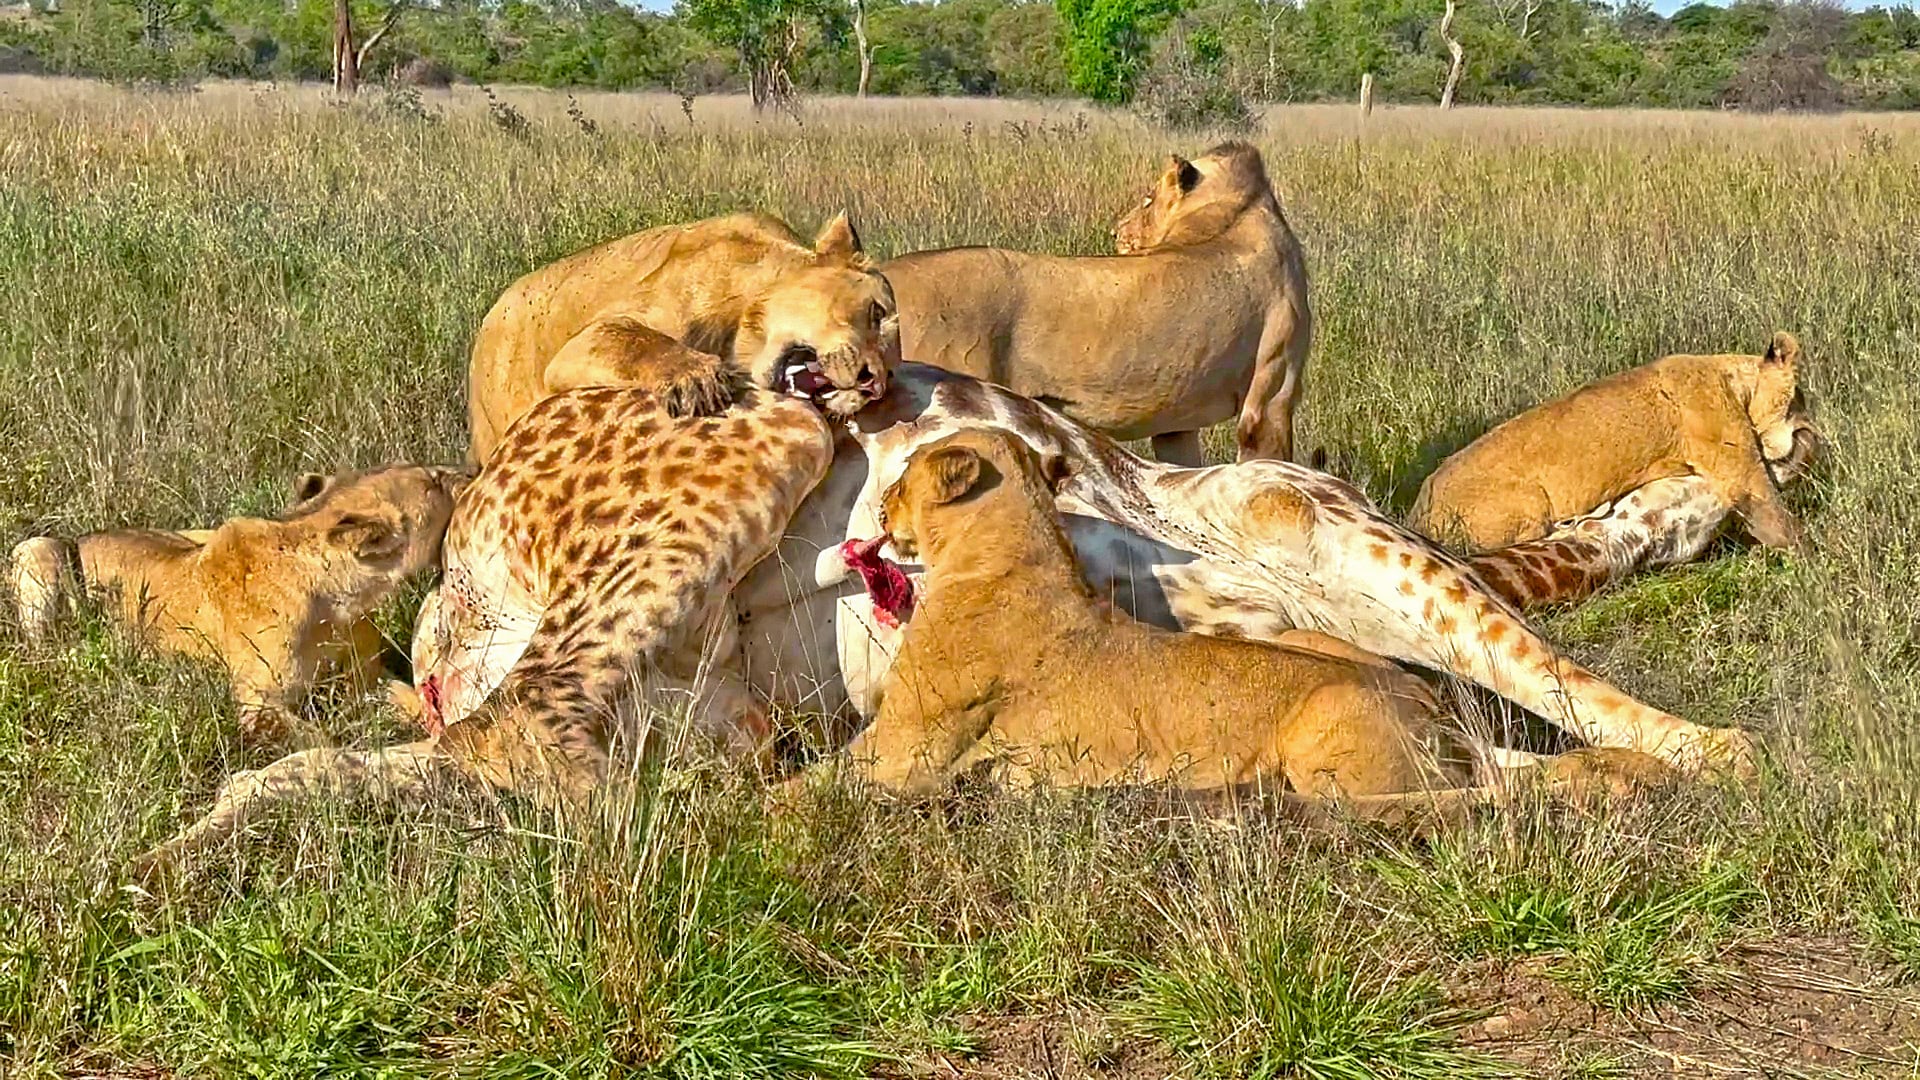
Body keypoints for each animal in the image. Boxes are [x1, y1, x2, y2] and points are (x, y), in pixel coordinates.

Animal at [9, 464, 465, 748]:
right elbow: (323, 741)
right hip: (38, 548)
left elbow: (411, 701)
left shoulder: (365, 678)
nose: (468, 472)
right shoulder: (255, 704)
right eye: (435, 479)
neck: (340, 607)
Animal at [466, 210, 899, 463]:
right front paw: (694, 377)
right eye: (876, 313)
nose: (873, 384)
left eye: (891, 373)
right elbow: (635, 341)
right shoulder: (580, 345)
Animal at [796, 428, 1666, 816]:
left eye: (902, 478)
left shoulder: (904, 758)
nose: (880, 509)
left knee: (1447, 802)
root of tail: (1427, 710)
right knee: (1515, 771)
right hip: (1309, 642)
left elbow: (803, 787)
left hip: (1326, 752)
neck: (1015, 549)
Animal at [1409, 332, 1809, 553]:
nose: (1812, 432)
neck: (1735, 381)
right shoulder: (1735, 459)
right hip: (1528, 502)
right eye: (1797, 403)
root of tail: (1417, 515)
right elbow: (1770, 509)